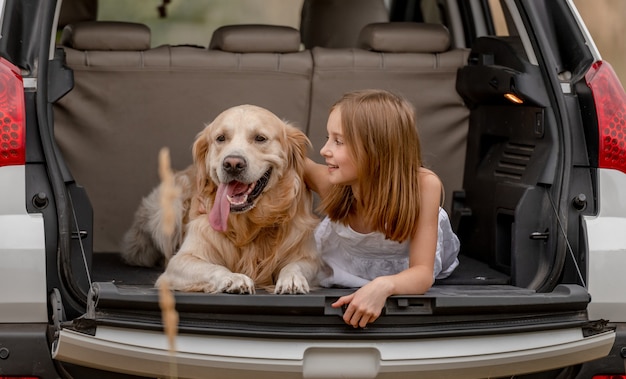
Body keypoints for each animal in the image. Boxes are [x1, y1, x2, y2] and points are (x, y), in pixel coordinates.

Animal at [121, 105, 320, 296]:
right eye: (221, 138)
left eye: (260, 138)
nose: (232, 164)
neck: (249, 225)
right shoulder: (181, 260)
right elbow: (214, 267)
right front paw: (234, 278)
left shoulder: (308, 257)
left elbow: (294, 265)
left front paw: (292, 278)